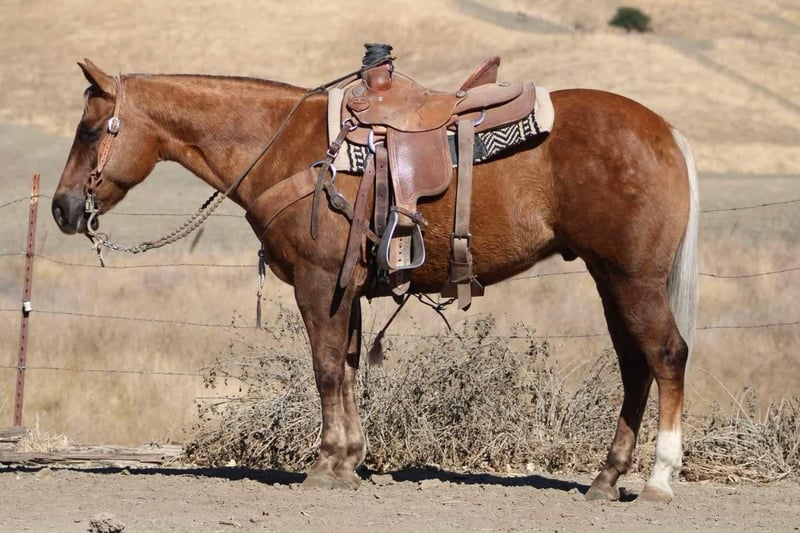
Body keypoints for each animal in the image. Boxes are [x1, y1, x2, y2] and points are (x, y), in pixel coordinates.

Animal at [52, 58, 698, 502]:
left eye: (90, 131)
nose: (62, 208)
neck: (285, 147)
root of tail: (667, 131)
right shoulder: (349, 290)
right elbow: (348, 367)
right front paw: (349, 461)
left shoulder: (317, 284)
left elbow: (324, 367)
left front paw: (324, 464)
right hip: (611, 279)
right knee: (635, 366)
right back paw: (606, 477)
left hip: (633, 279)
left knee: (666, 356)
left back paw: (660, 479)